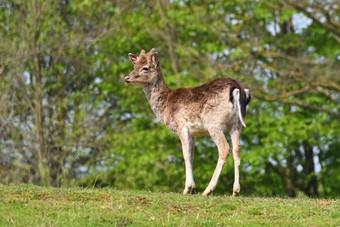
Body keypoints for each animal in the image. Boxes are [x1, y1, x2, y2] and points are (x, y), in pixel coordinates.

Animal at [124, 48, 250, 196]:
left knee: (225, 148)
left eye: (145, 67)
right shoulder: (194, 133)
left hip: (214, 122)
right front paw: (192, 188)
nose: (127, 78)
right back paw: (235, 191)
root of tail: (238, 89)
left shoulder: (181, 126)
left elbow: (186, 154)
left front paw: (188, 189)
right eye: (134, 66)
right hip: (236, 123)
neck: (166, 105)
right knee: (237, 149)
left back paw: (208, 190)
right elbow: (192, 156)